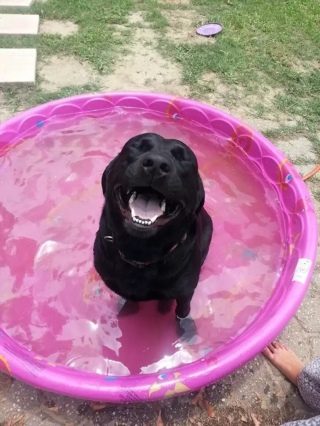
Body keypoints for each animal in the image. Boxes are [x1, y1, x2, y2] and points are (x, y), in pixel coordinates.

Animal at [93, 133, 212, 320]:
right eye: (138, 147)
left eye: (182, 158)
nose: (156, 164)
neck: (141, 253)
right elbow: (130, 301)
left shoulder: (185, 291)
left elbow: (182, 310)